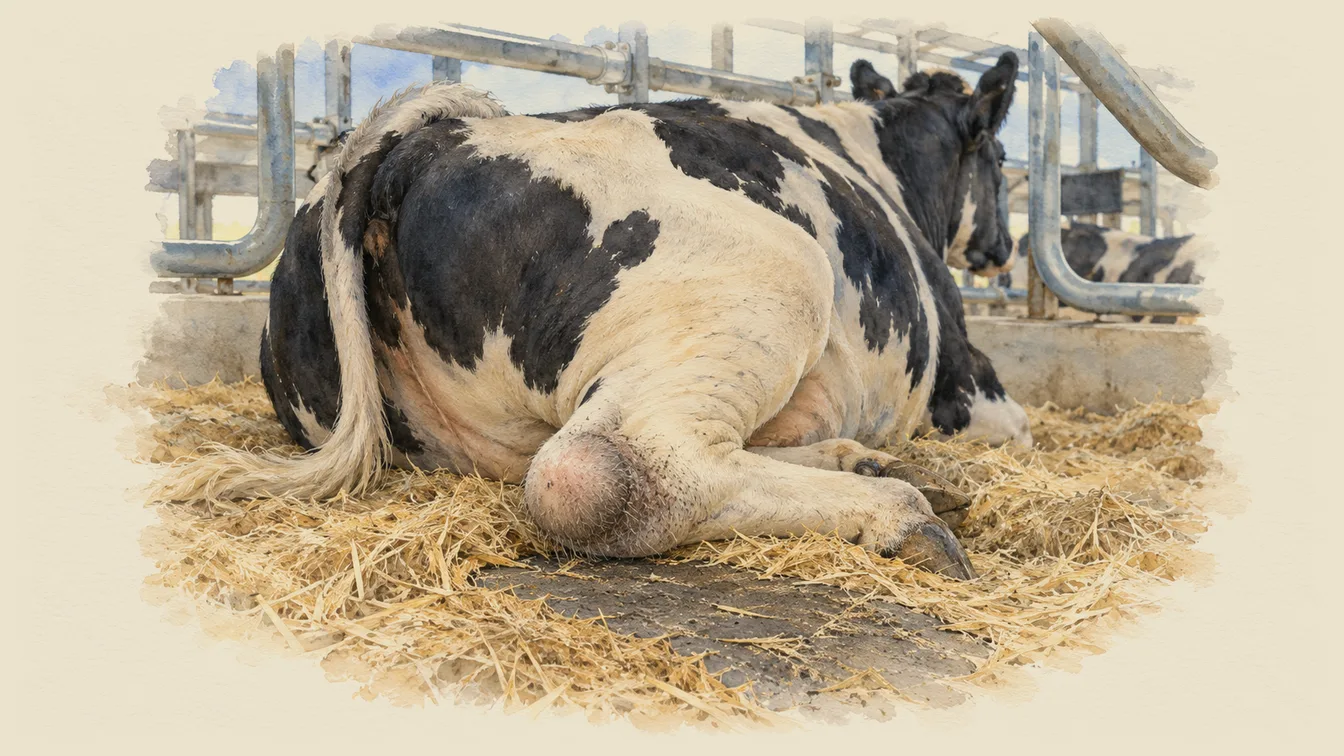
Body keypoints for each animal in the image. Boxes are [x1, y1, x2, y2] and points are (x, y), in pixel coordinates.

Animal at [161, 54, 1032, 580]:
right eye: (998, 159)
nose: (1004, 246)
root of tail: (419, 138)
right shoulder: (969, 388)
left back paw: (869, 467)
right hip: (776, 275)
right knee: (608, 471)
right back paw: (899, 509)